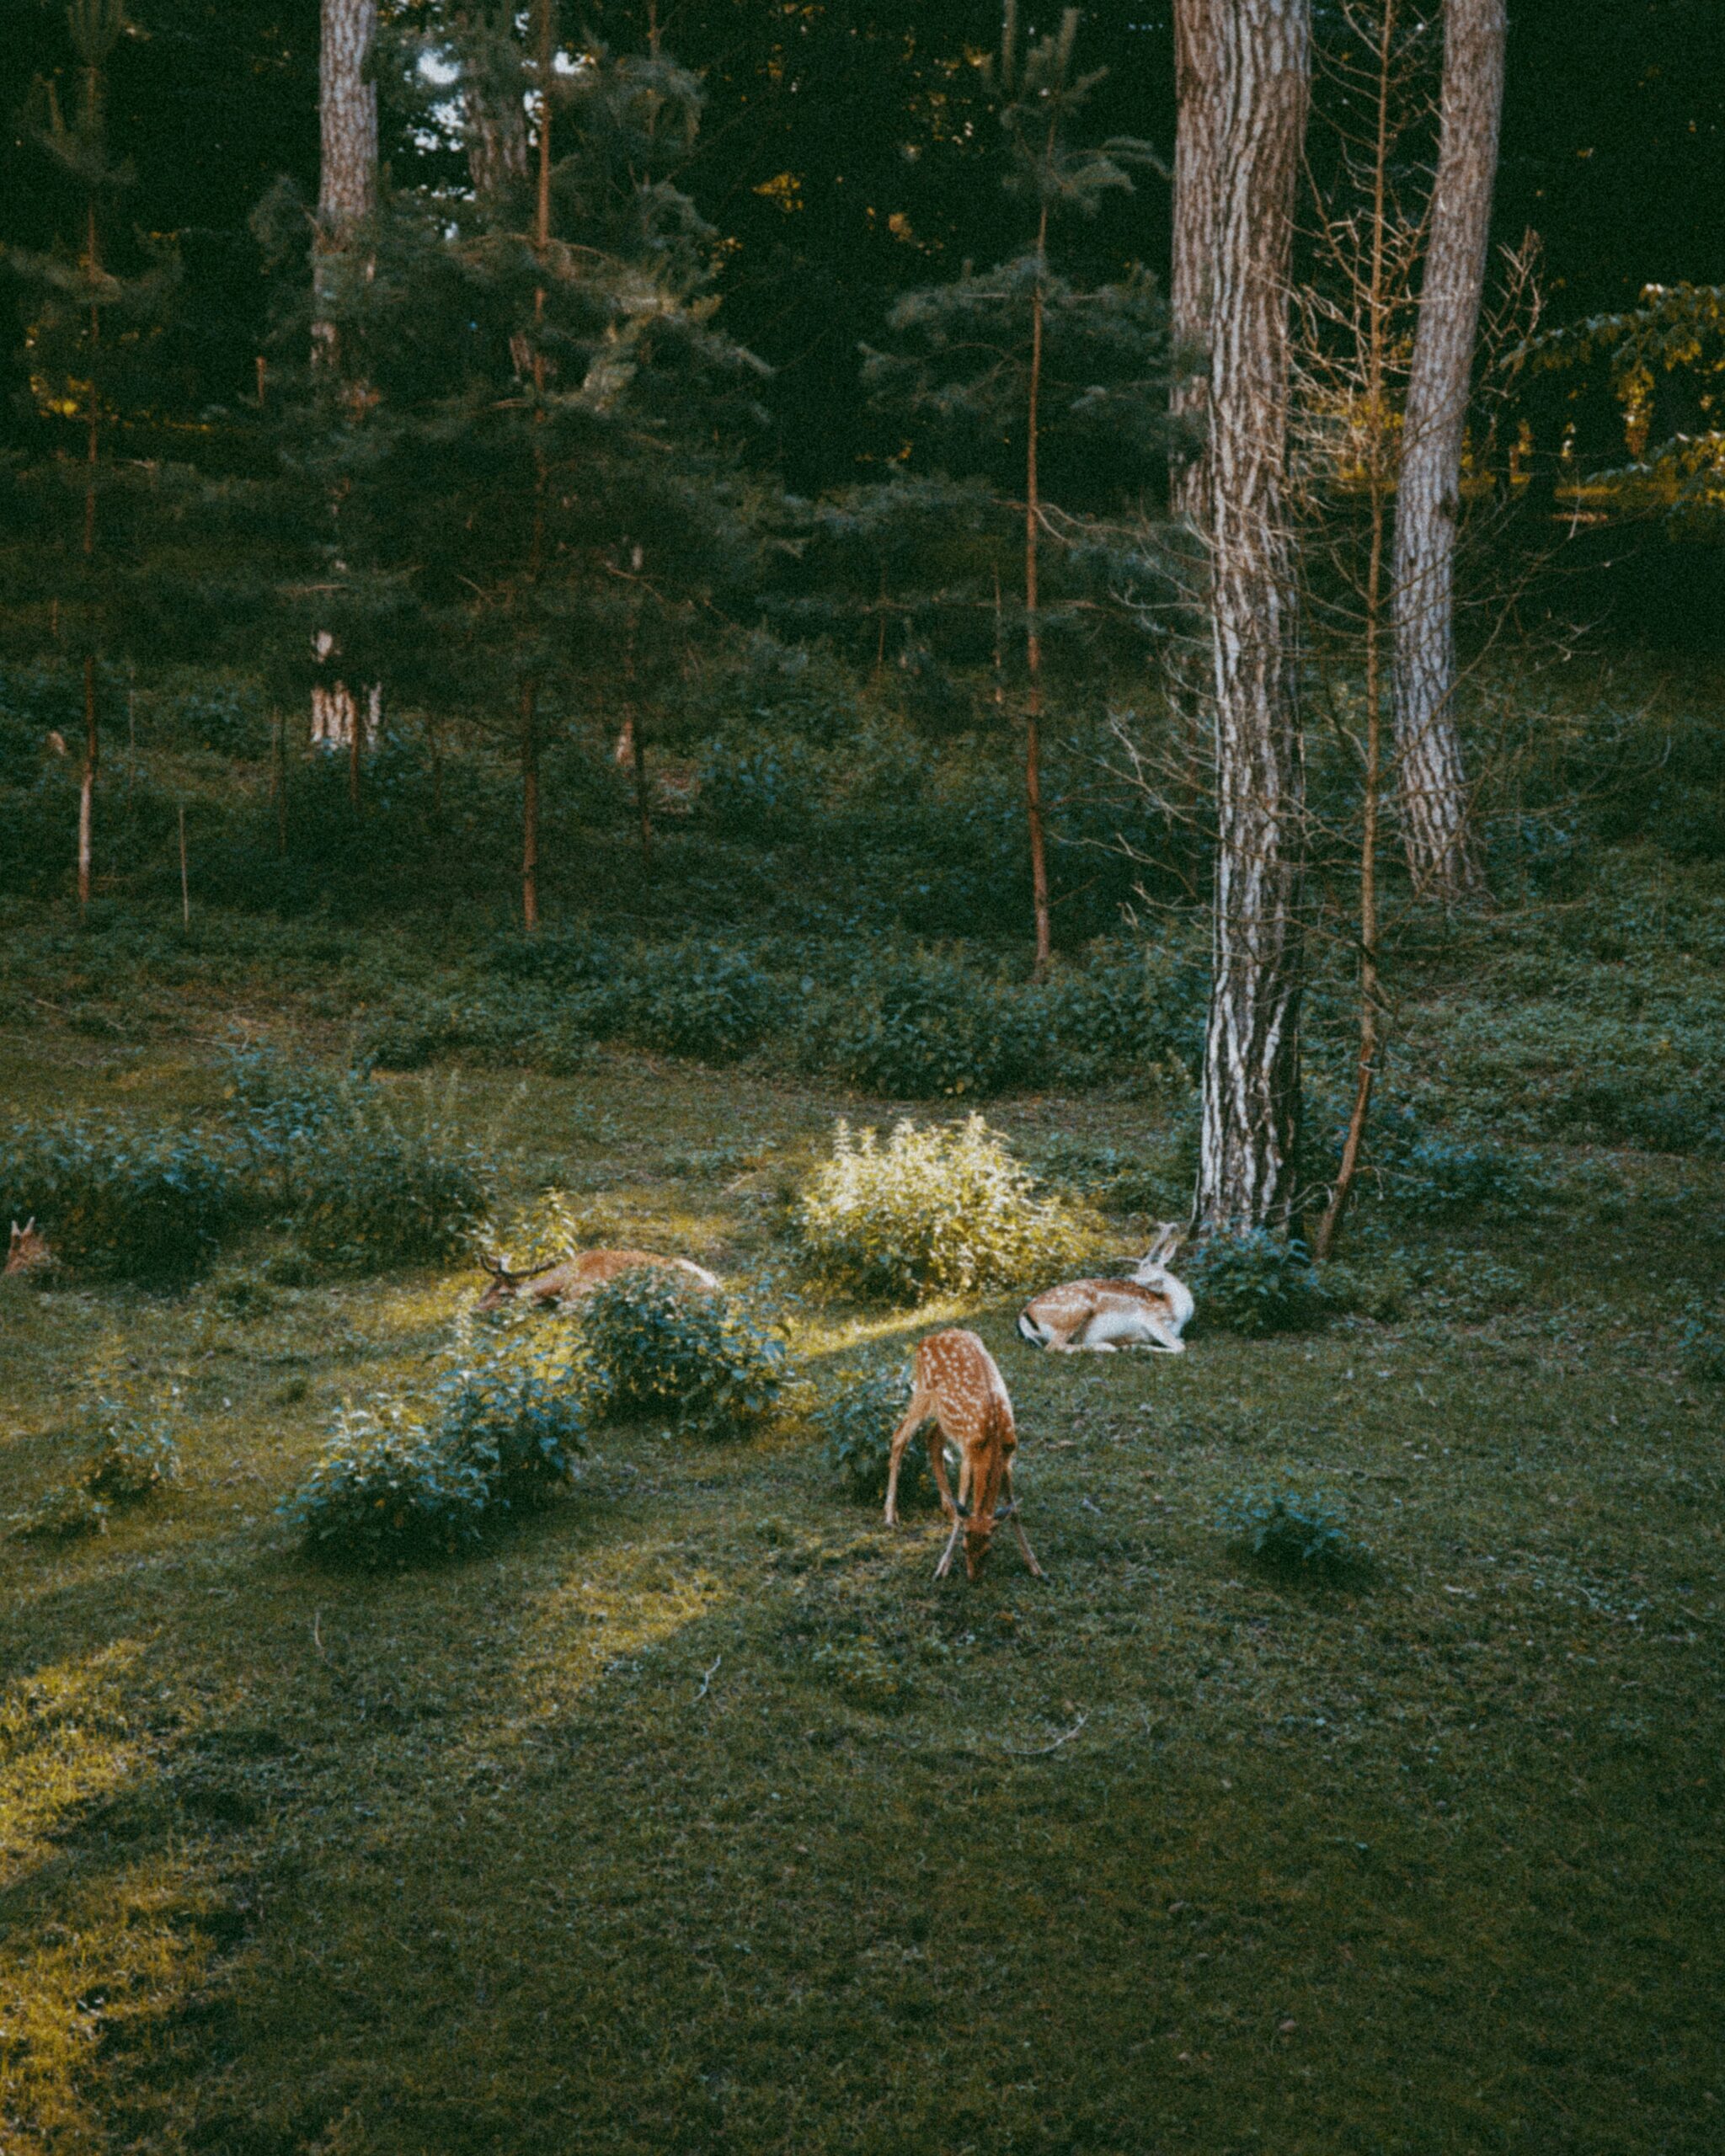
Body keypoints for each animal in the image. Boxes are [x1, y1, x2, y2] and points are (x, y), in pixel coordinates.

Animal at [884, 1327, 1044, 1587]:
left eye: (989, 1551)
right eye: (964, 1547)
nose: (974, 1579)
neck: (993, 1441)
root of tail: (927, 1339)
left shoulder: (1008, 1458)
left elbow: (1014, 1511)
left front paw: (1034, 1565)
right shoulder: (969, 1455)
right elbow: (964, 1511)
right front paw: (942, 1567)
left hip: (944, 1417)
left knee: (932, 1438)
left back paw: (946, 1506)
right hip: (923, 1392)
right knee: (899, 1436)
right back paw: (890, 1515)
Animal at [1017, 1225, 1190, 1353]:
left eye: (1146, 1267)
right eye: (1140, 1267)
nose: (1128, 1277)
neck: (1178, 1313)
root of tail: (1024, 1314)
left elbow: (1180, 1342)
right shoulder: (1150, 1317)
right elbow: (1180, 1347)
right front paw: (1134, 1347)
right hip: (1074, 1310)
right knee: (1053, 1347)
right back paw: (1107, 1346)